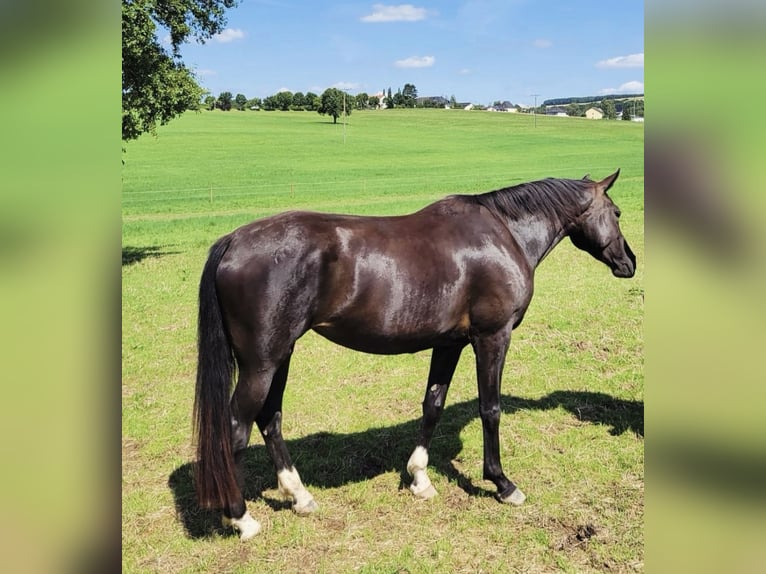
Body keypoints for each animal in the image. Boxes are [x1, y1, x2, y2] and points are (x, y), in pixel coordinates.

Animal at [195, 170, 640, 540]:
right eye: (617, 212)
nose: (629, 262)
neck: (504, 234)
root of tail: (233, 241)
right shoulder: (492, 338)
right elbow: (490, 409)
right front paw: (502, 483)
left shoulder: (449, 343)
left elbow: (433, 405)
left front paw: (420, 479)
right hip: (261, 364)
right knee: (236, 428)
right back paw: (241, 518)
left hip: (280, 356)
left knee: (270, 420)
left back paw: (300, 497)